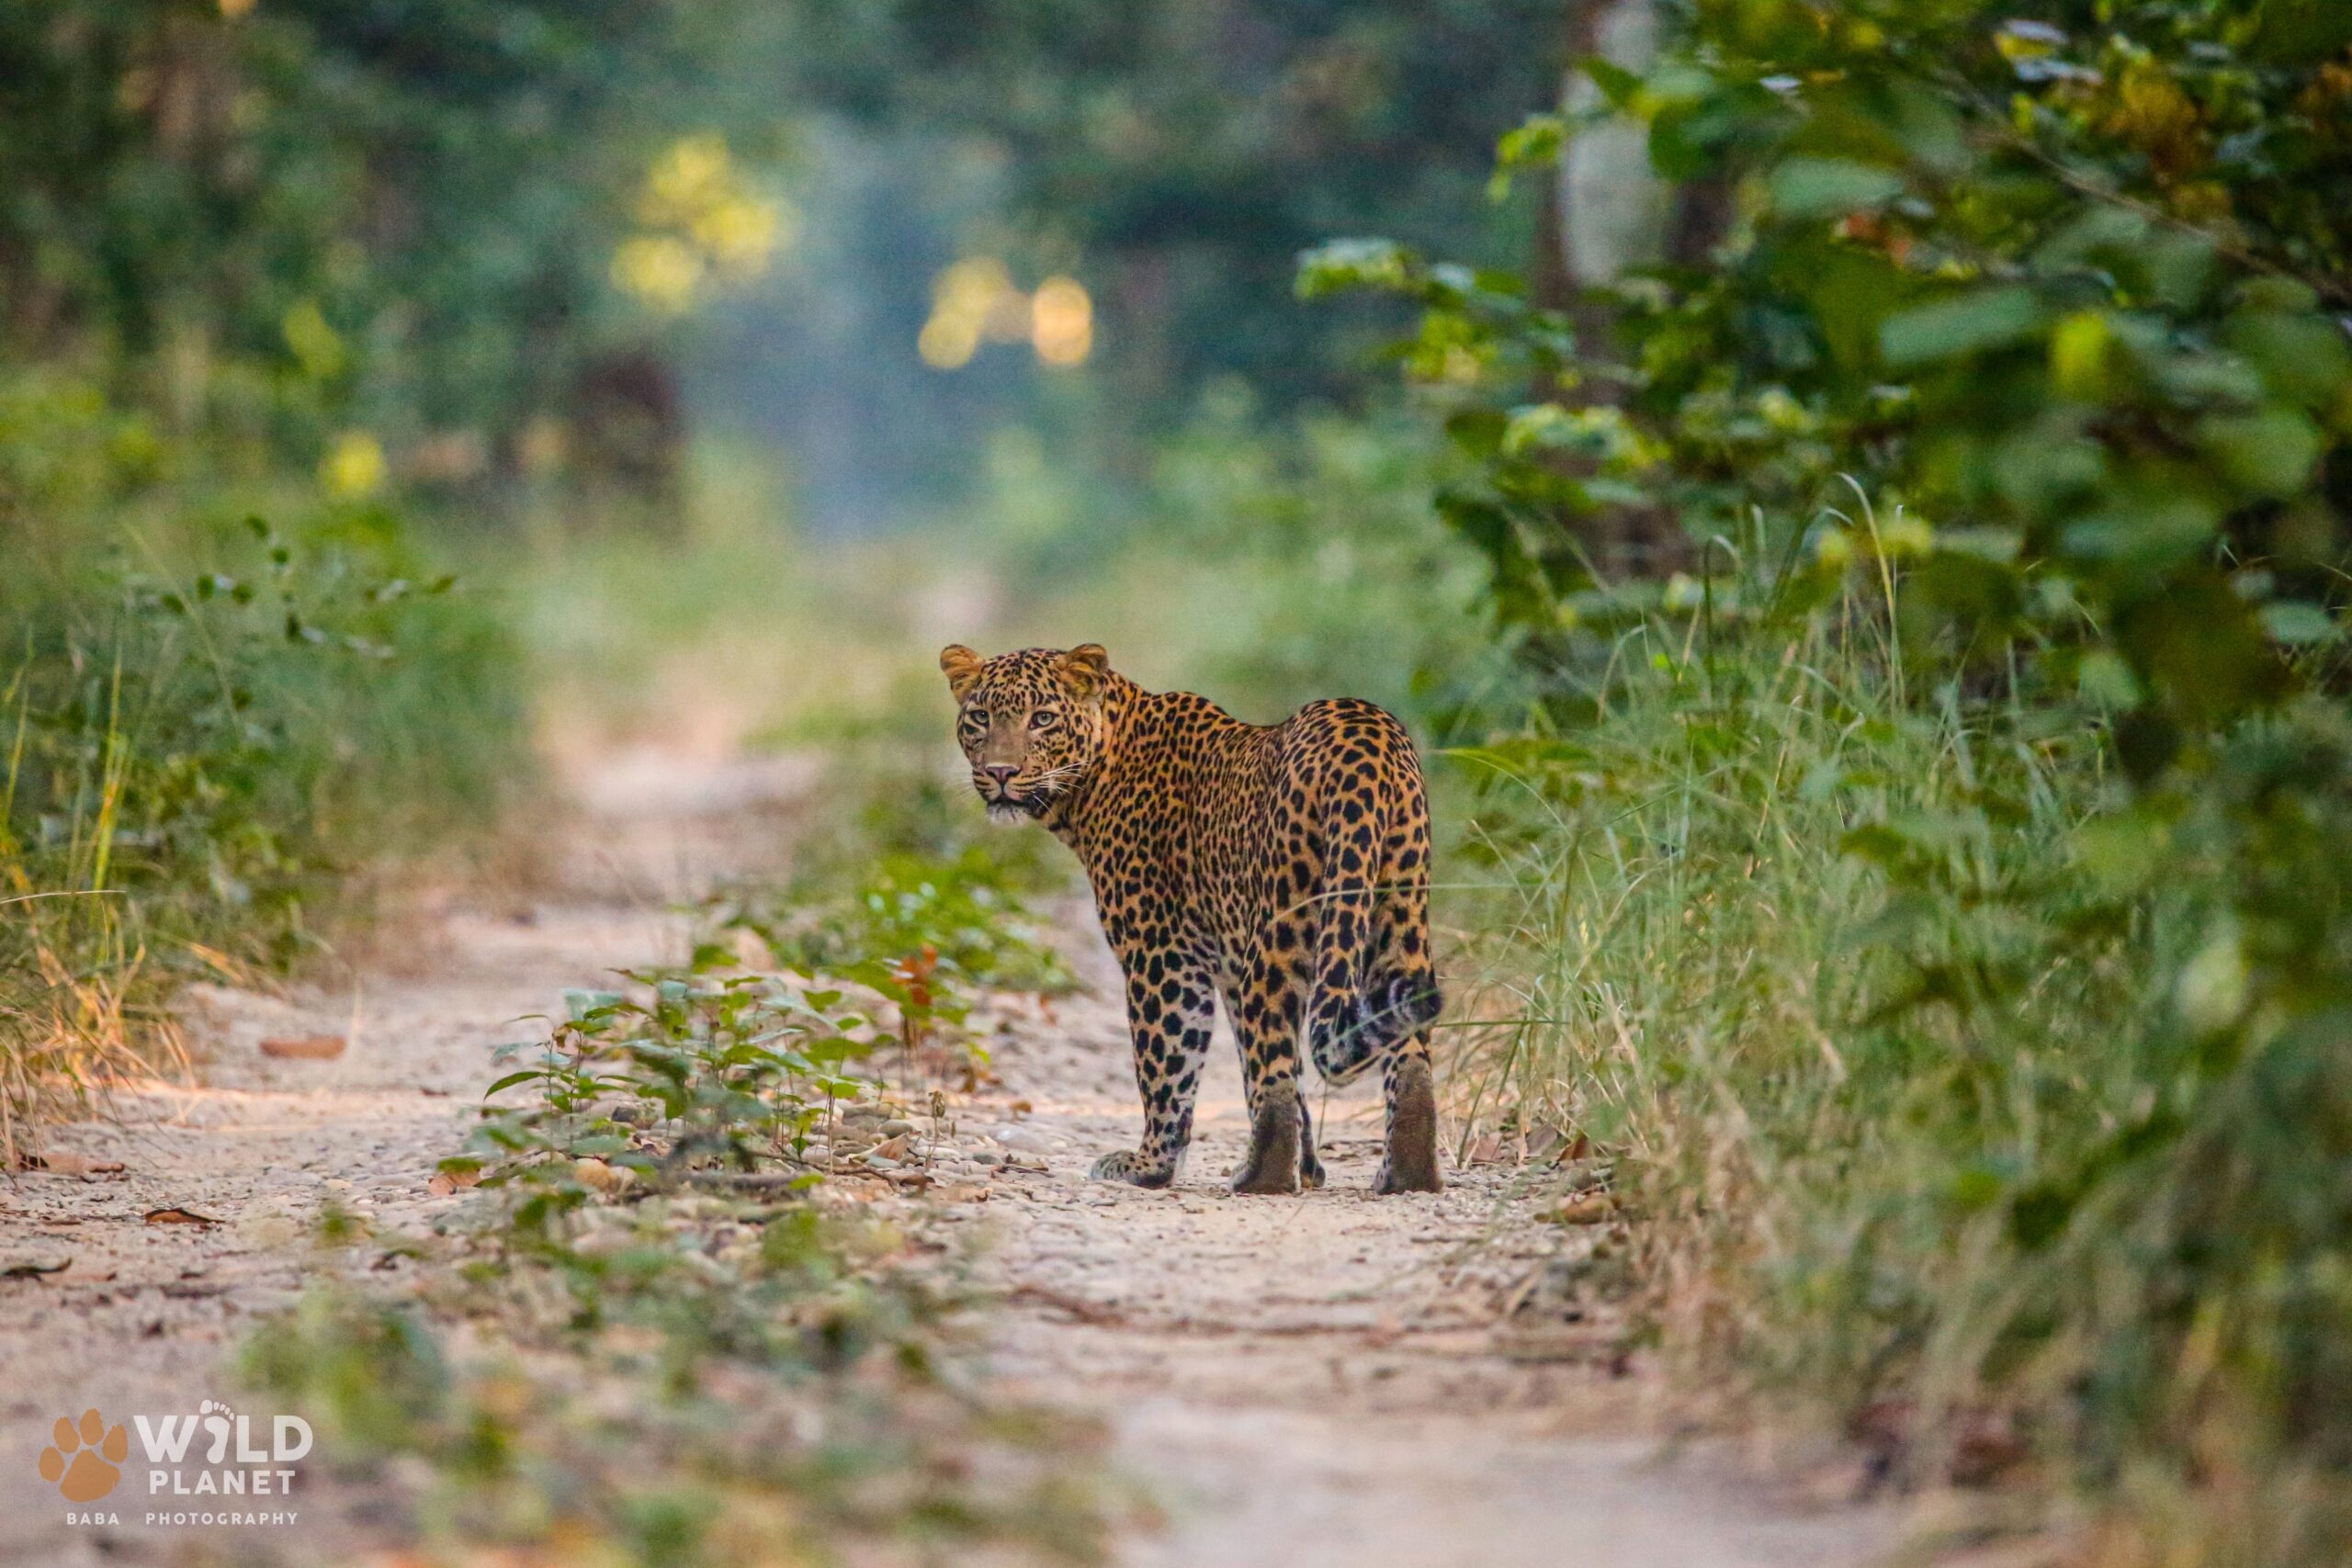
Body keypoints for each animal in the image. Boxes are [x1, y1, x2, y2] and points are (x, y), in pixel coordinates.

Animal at [945, 644, 1439, 1194]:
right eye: (980, 717)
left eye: (1042, 719)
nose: (1001, 772)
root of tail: (1364, 735)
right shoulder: (1226, 970)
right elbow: (1258, 1067)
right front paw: (1311, 1169)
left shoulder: (1160, 953)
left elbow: (1167, 1064)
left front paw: (1149, 1167)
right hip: (1397, 914)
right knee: (1407, 1049)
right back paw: (1406, 1176)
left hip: (1278, 929)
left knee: (1274, 1062)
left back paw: (1258, 1178)